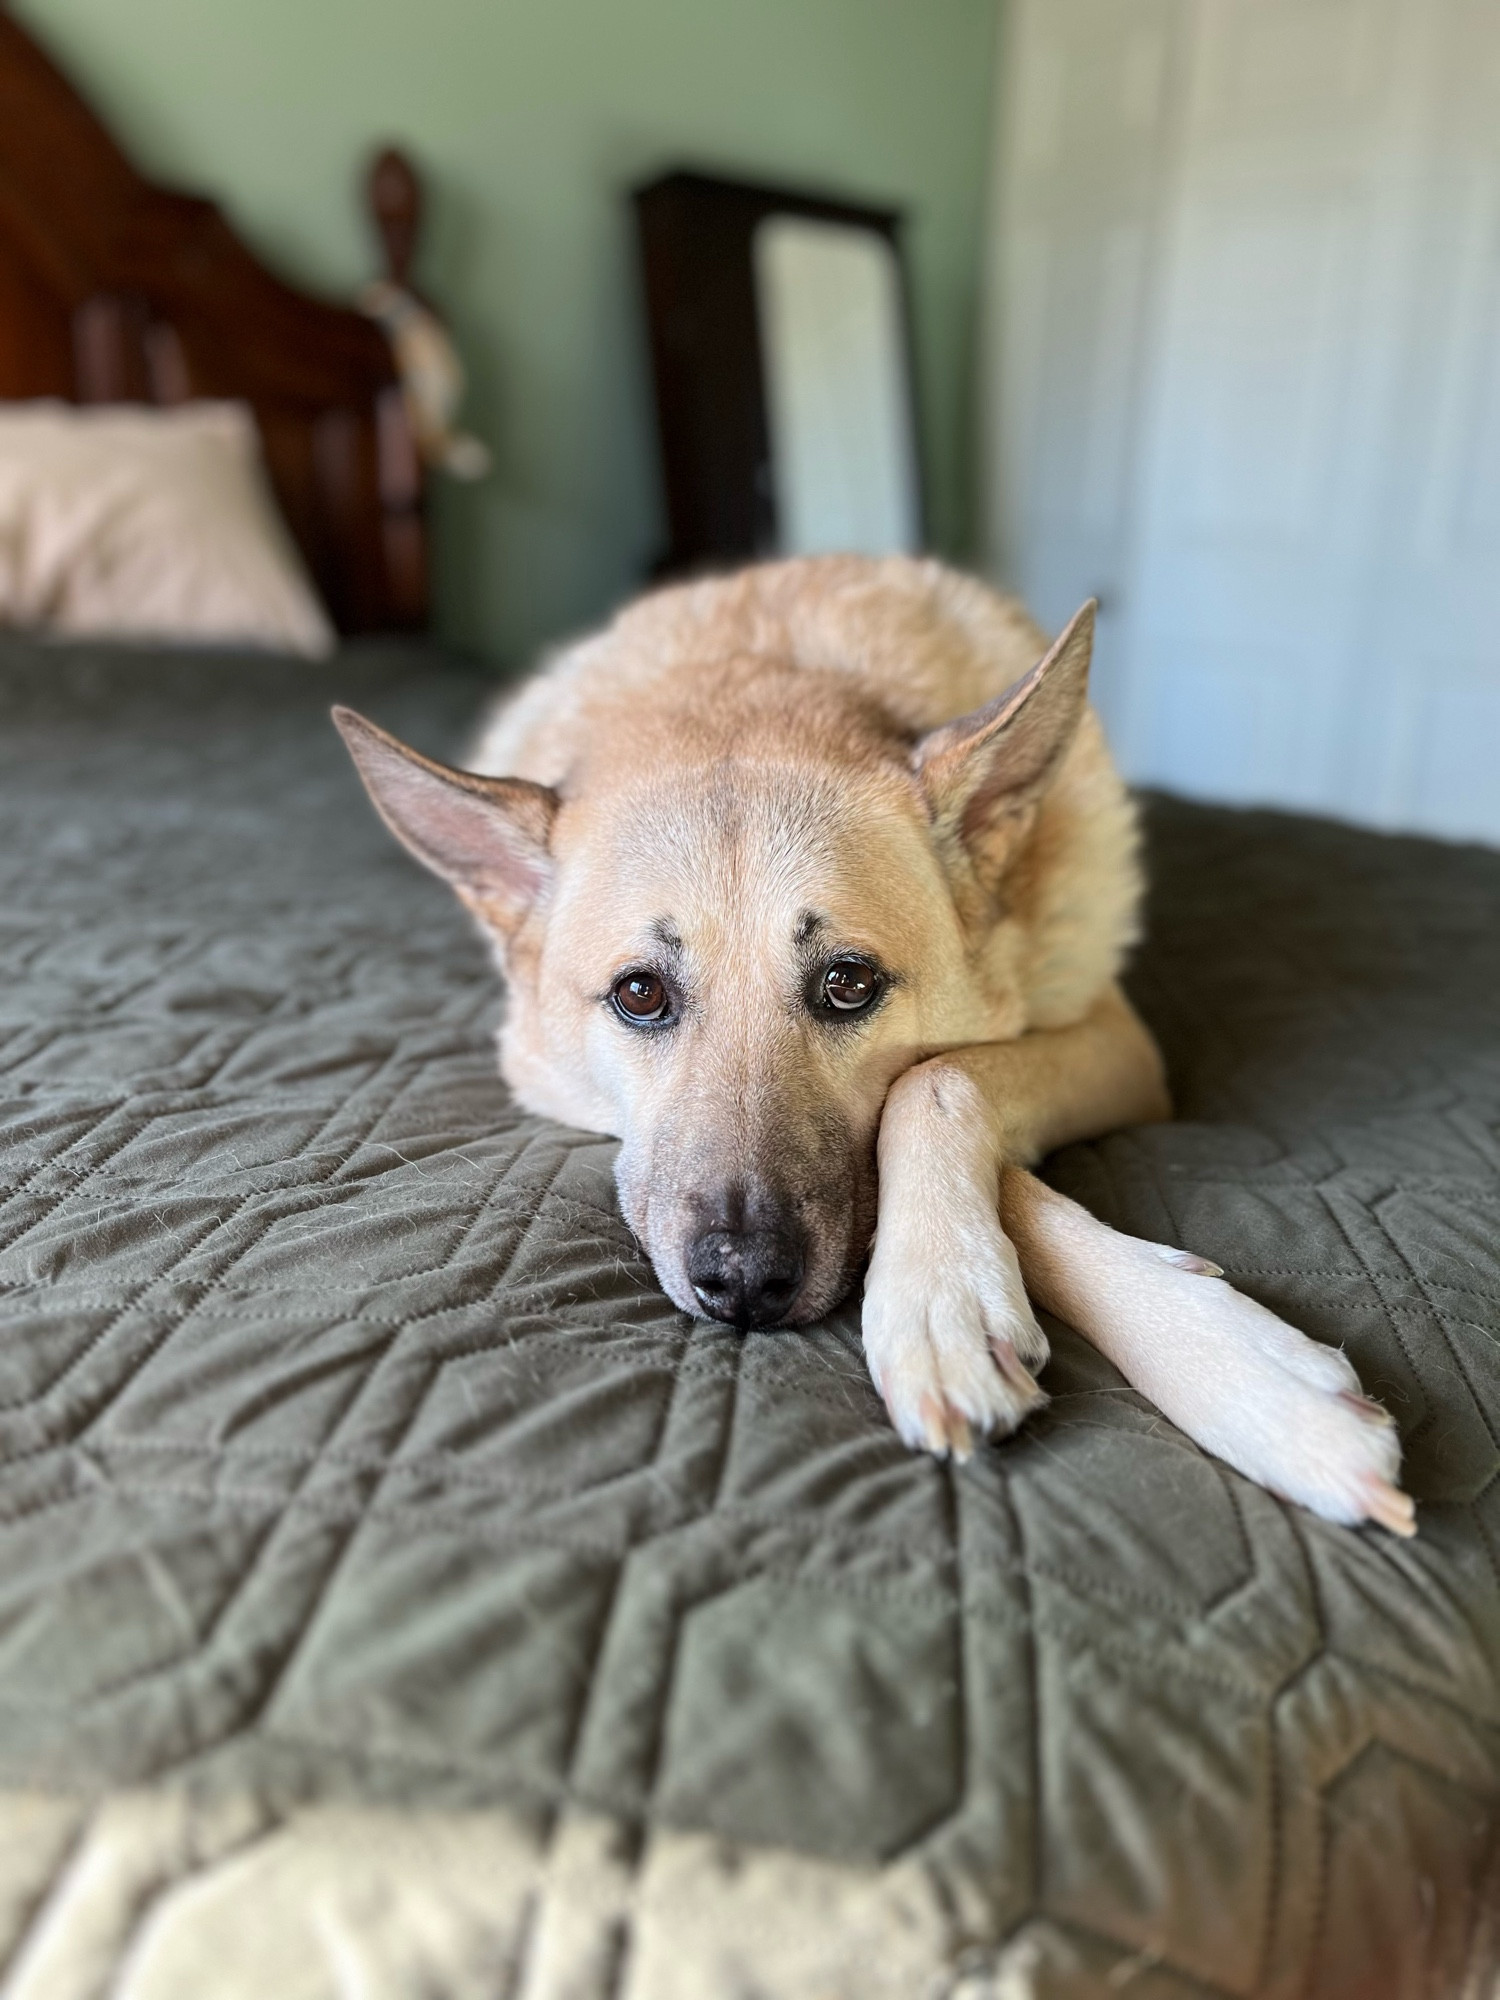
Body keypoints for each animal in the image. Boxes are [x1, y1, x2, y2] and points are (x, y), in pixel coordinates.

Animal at [334, 556, 1416, 1536]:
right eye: (640, 994)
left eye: (848, 984)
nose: (744, 1284)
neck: (750, 670)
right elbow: (995, 1159)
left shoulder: (1115, 1042)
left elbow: (934, 1077)